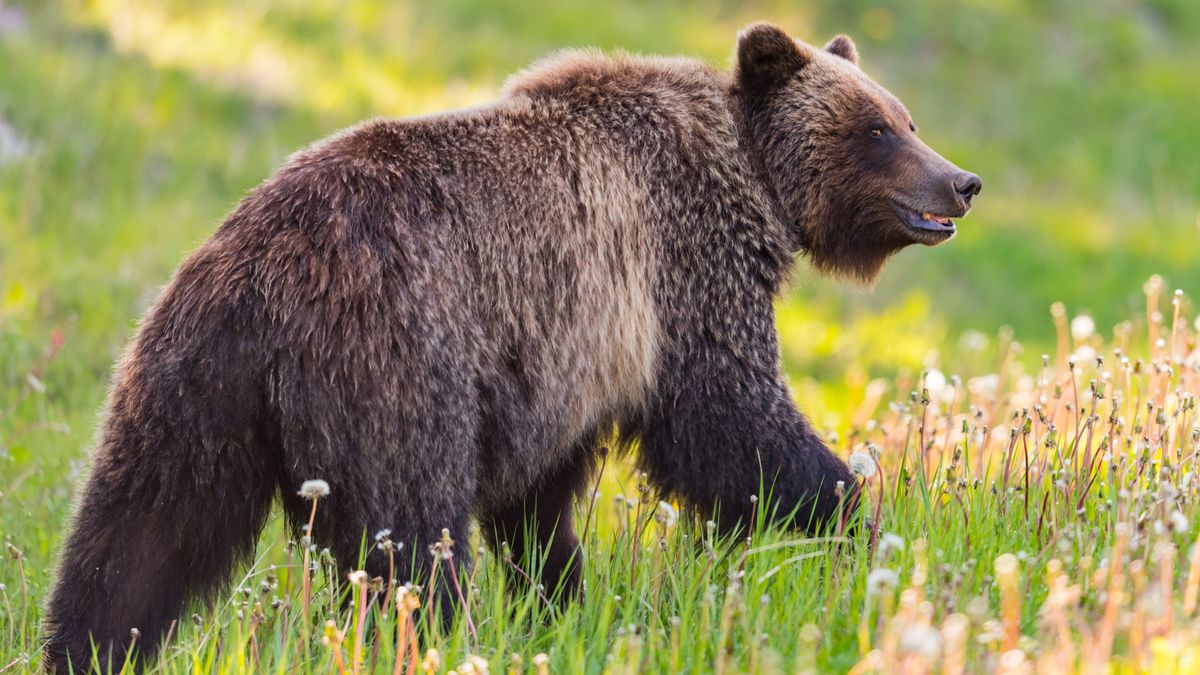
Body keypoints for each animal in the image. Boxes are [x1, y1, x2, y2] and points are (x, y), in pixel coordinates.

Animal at [44, 19, 974, 667]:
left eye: (905, 117)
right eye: (877, 128)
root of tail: (258, 276)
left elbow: (538, 502)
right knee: (411, 538)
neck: (753, 184)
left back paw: (80, 647)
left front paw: (558, 598)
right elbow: (730, 420)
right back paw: (427, 640)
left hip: (189, 387)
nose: (961, 181)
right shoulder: (676, 277)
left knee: (136, 538)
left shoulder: (557, 359)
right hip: (397, 362)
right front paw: (851, 513)